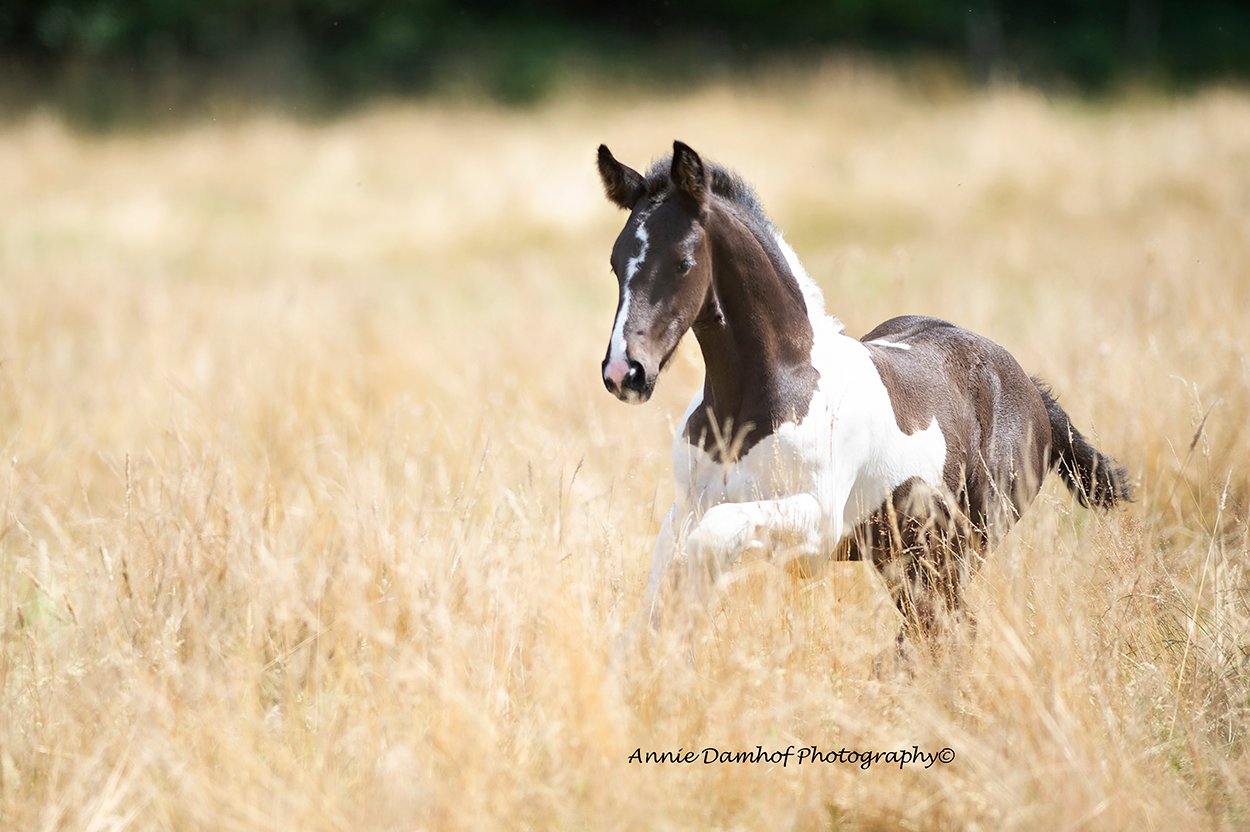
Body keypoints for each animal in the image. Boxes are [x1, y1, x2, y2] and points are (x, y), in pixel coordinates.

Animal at [595, 139, 1135, 637]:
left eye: (683, 262)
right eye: (615, 263)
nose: (625, 372)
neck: (753, 402)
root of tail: (1031, 391)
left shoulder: (818, 520)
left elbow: (707, 542)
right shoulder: (687, 506)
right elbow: (664, 574)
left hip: (958, 546)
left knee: (942, 628)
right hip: (901, 554)